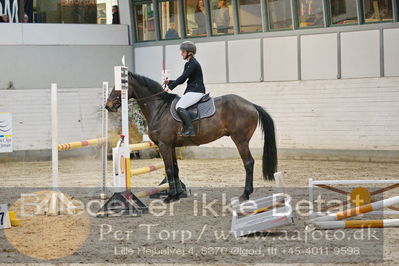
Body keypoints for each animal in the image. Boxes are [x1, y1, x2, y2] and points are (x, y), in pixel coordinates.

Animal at [104, 72, 276, 202]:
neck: (159, 109)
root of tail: (251, 105)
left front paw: (170, 196)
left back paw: (245, 194)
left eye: (118, 87)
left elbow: (169, 169)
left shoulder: (164, 145)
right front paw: (178, 195)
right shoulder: (171, 146)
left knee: (248, 163)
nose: (108, 106)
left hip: (240, 140)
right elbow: (175, 169)